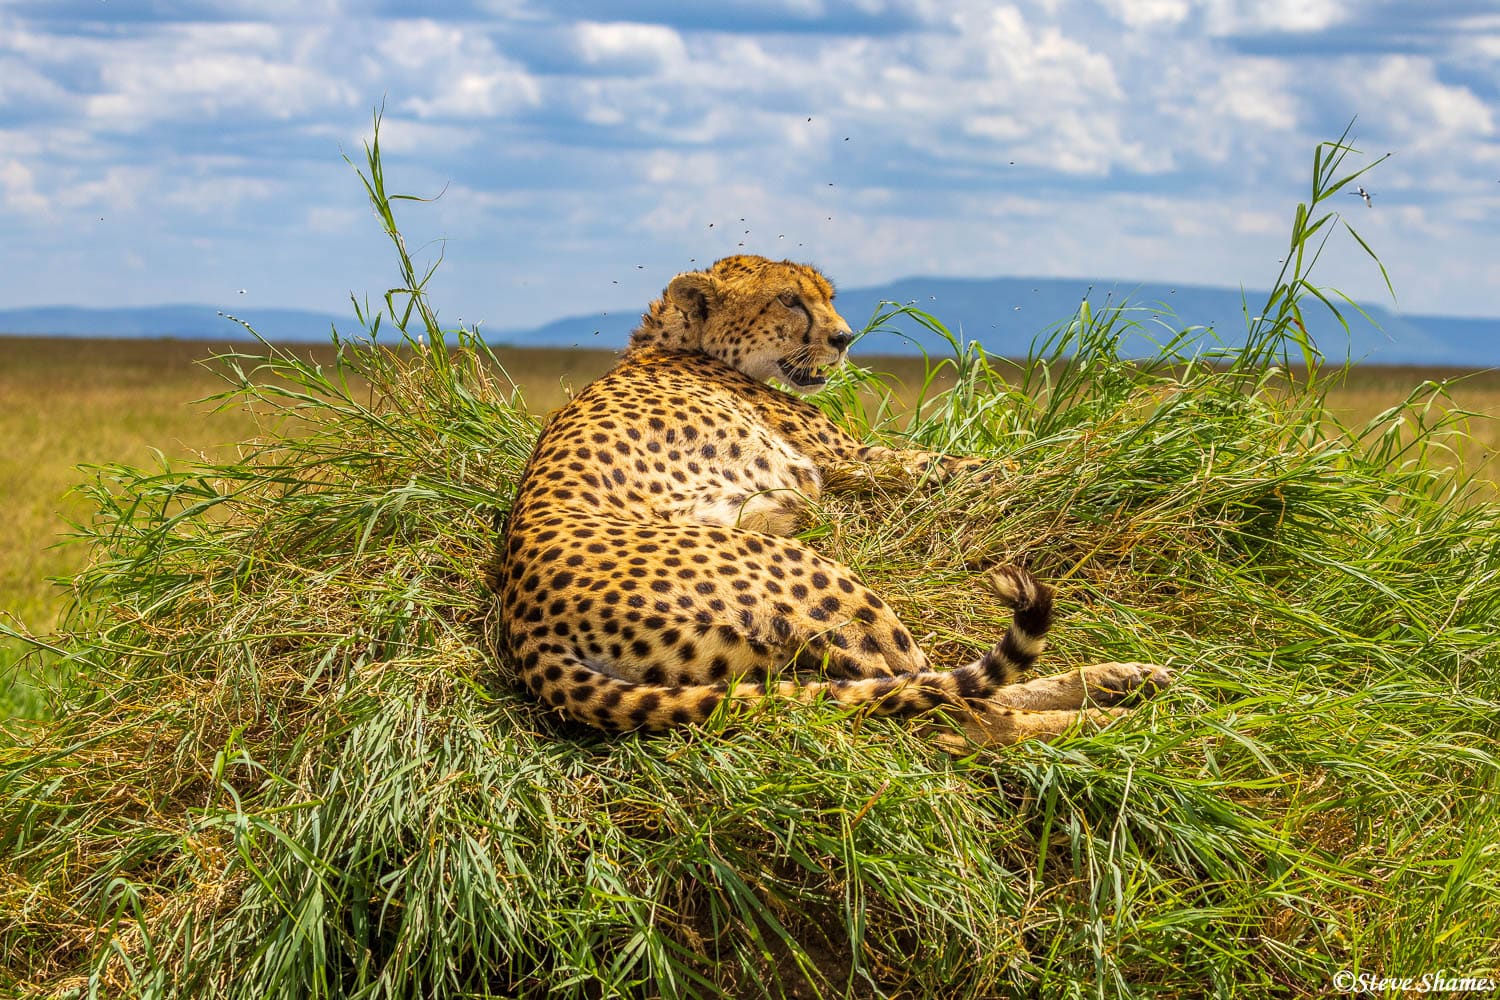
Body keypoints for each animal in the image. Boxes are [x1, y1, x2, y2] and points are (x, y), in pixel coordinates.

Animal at [488, 254, 1171, 749]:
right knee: (953, 708)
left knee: (933, 692)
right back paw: (1109, 718)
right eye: (790, 299)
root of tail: (527, 629)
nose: (845, 338)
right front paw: (1082, 466)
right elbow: (974, 466)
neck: (679, 341)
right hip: (824, 584)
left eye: (828, 295)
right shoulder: (850, 461)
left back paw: (1120, 681)